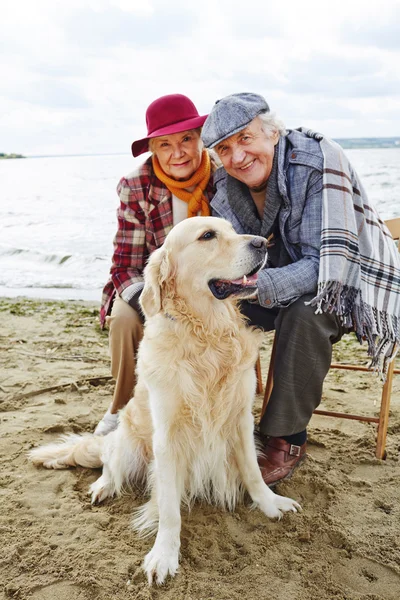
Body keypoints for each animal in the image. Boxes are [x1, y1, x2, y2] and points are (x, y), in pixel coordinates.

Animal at [29, 217, 300, 584]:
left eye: (232, 229)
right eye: (208, 236)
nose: (262, 243)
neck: (206, 335)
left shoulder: (241, 420)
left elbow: (254, 473)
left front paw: (271, 504)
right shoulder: (168, 437)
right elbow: (170, 508)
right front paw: (164, 554)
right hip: (128, 440)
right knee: (110, 461)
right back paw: (103, 486)